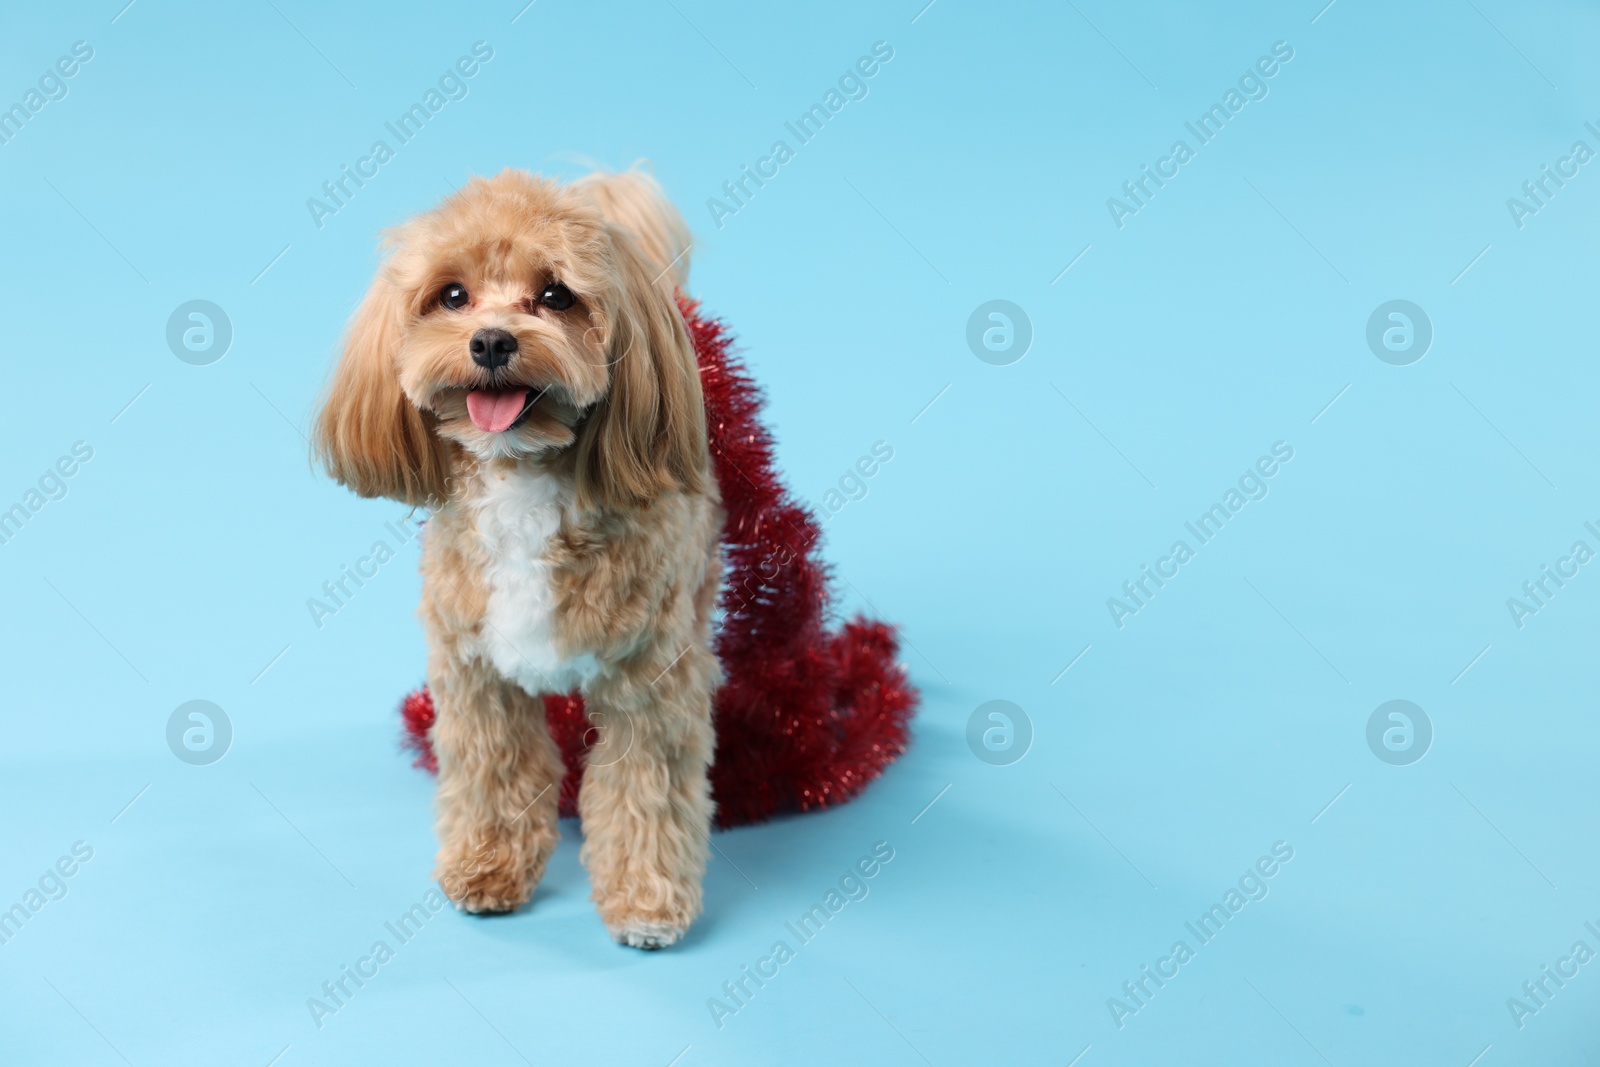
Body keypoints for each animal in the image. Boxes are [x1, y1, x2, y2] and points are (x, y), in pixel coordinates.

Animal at [310, 168, 720, 953]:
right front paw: (486, 868)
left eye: (556, 295)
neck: (522, 476)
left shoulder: (648, 683)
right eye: (452, 295)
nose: (493, 340)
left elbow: (642, 792)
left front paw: (646, 901)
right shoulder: (476, 673)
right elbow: (494, 773)